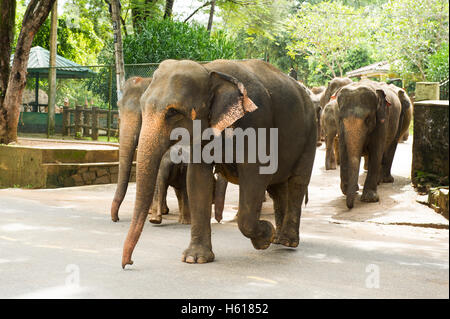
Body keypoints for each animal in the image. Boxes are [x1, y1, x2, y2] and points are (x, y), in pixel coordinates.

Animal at [120, 59, 316, 268]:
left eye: (173, 111)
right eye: (142, 106)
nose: (128, 263)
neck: (209, 70)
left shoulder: (257, 122)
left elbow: (254, 177)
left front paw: (264, 237)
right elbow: (197, 179)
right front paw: (195, 258)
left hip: (310, 133)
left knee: (297, 182)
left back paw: (287, 241)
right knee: (277, 187)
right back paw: (278, 239)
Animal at [338, 80, 412, 210]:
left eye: (368, 119)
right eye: (341, 118)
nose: (350, 207)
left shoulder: (382, 119)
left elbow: (376, 150)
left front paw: (369, 199)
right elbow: (343, 150)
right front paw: (348, 190)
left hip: (398, 121)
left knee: (390, 147)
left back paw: (384, 180)